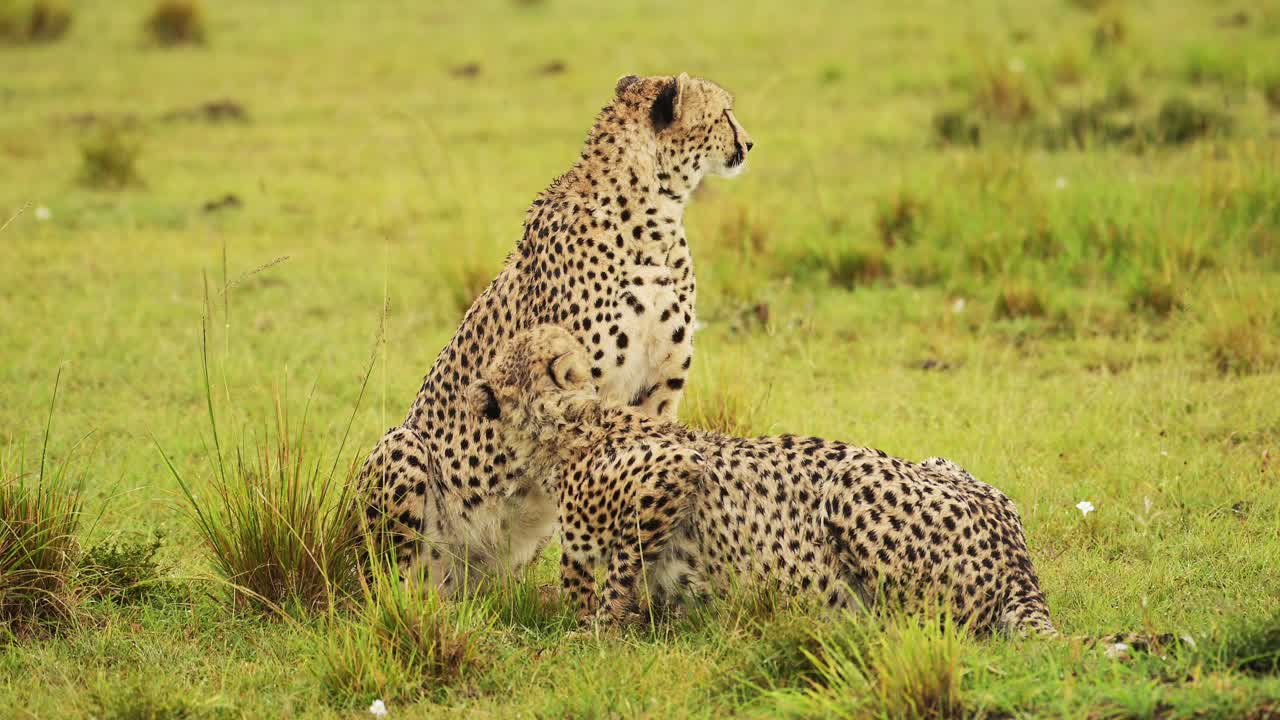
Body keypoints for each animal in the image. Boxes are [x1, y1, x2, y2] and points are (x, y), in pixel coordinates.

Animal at [358, 74, 754, 595]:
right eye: (724, 113)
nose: (749, 143)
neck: (655, 220)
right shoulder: (572, 393)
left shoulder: (658, 392)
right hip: (401, 452)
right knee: (396, 578)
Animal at [463, 324, 1059, 637]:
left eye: (496, 370)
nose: (475, 391)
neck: (571, 428)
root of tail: (1019, 564)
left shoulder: (673, 468)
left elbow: (617, 571)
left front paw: (601, 627)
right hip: (944, 464)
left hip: (851, 481)